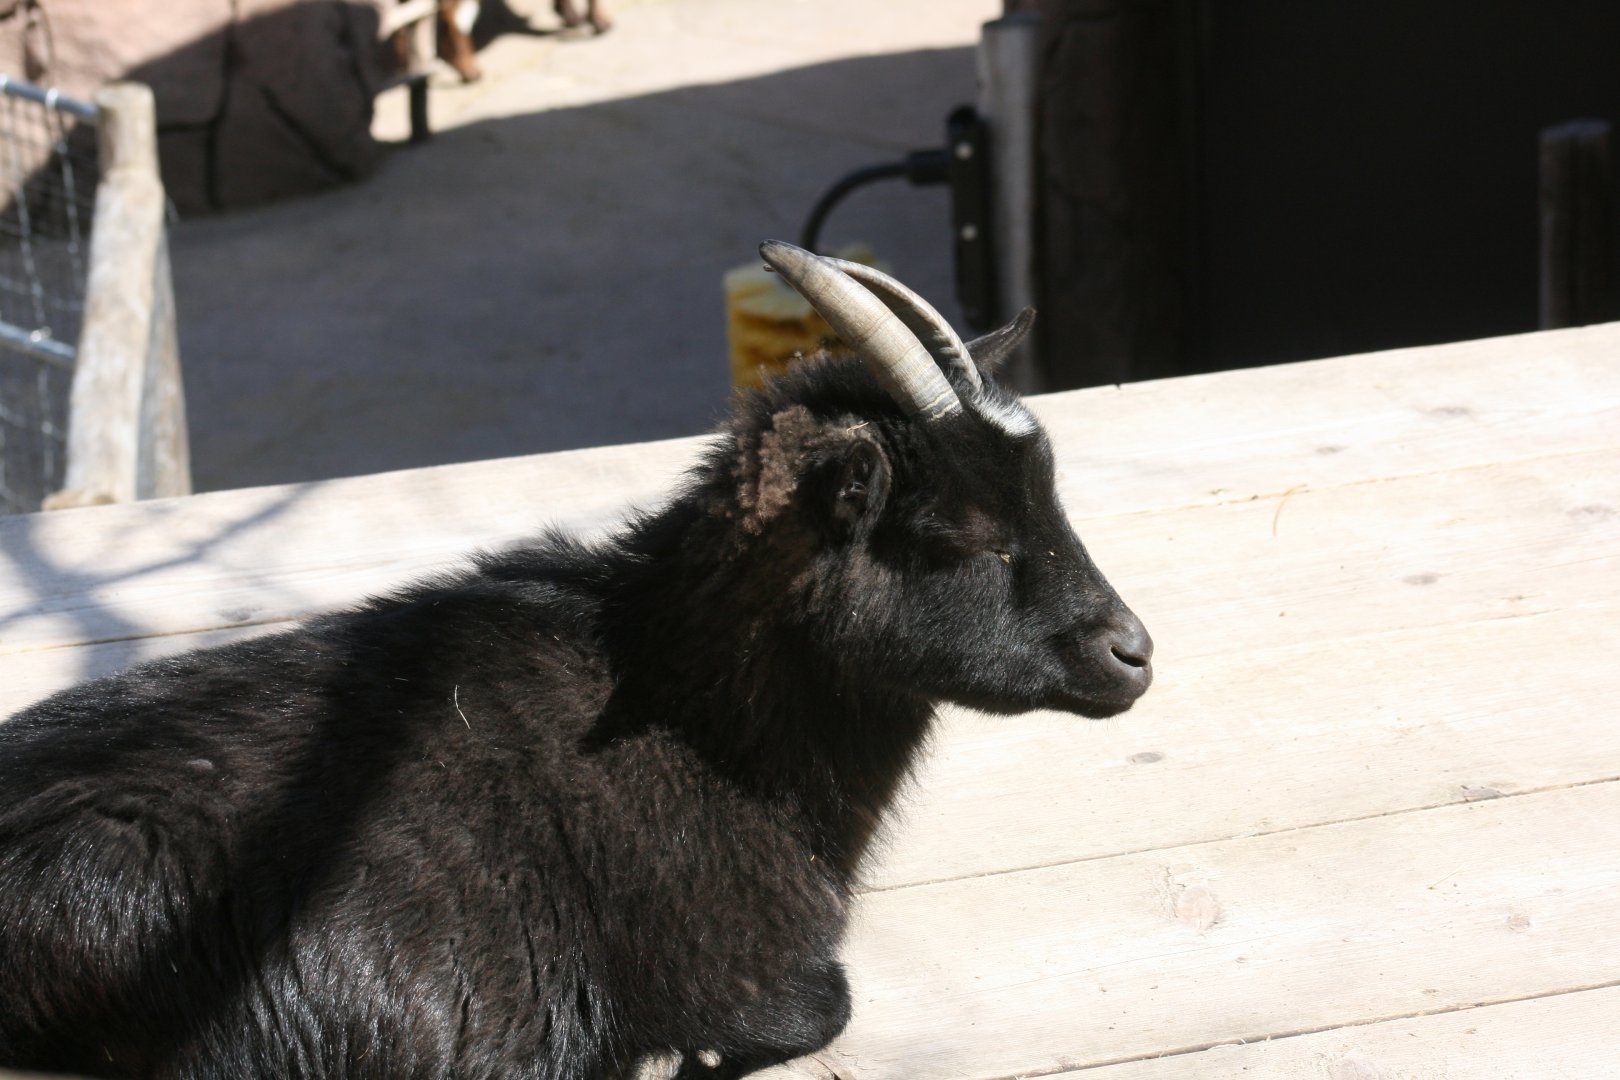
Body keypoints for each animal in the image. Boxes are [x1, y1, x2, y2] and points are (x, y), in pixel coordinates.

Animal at [0, 241, 1152, 1079]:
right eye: (965, 537)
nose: (1132, 654)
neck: (695, 713)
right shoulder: (727, 961)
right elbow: (816, 1008)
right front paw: (691, 1058)